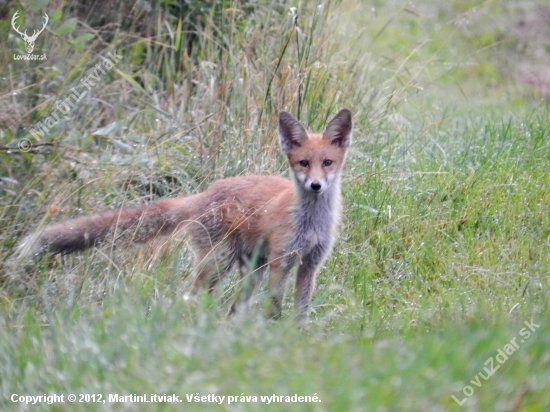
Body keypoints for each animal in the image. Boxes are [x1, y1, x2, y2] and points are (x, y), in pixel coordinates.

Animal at [18, 108, 354, 318]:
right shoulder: (281, 262)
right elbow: (274, 310)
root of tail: (205, 191)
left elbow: (300, 313)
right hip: (219, 263)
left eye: (327, 162)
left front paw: (295, 338)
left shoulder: (310, 264)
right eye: (303, 163)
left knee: (233, 309)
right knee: (189, 296)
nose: (315, 186)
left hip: (249, 271)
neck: (309, 223)